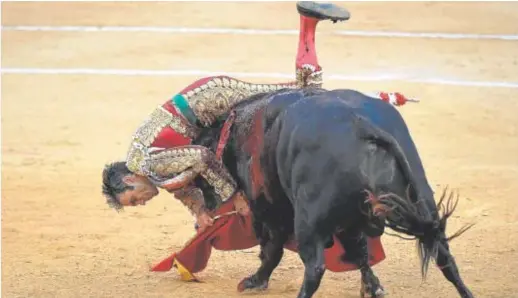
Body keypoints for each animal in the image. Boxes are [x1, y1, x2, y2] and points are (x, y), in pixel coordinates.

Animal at [192, 87, 476, 296]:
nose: (201, 221)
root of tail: (362, 126)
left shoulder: (270, 208)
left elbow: (273, 248)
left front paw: (254, 281)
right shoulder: (354, 221)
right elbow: (361, 253)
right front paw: (373, 287)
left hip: (308, 221)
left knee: (315, 268)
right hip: (422, 201)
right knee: (445, 257)